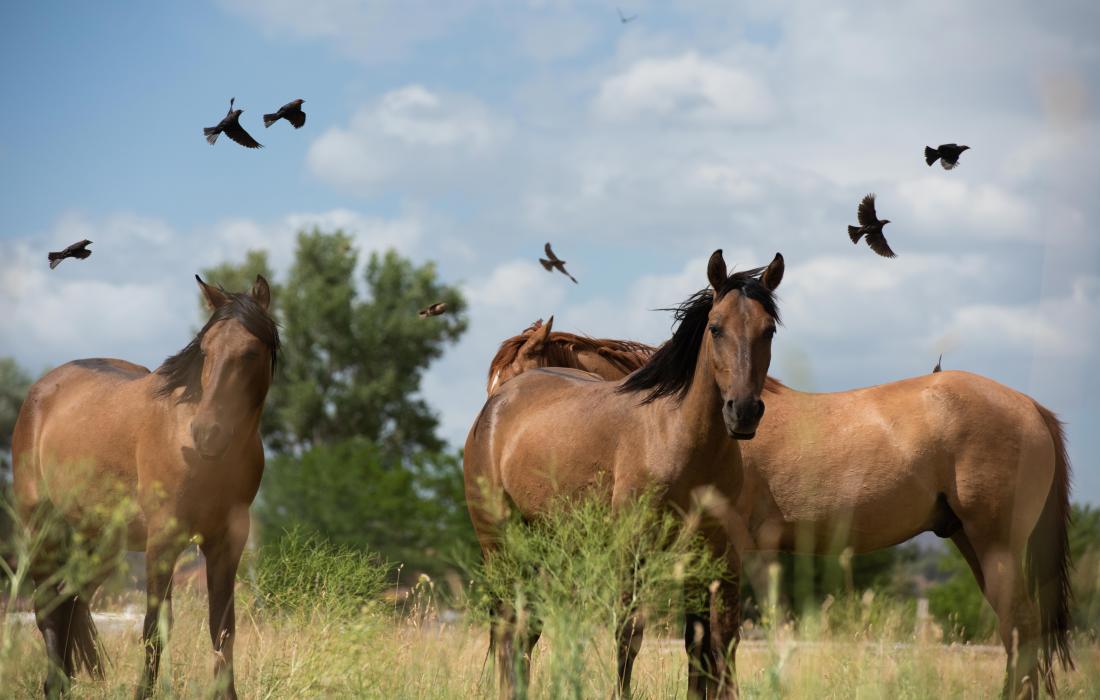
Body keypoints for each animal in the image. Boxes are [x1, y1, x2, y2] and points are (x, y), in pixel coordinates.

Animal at [11, 275, 279, 699]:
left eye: (251, 352)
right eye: (205, 350)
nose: (207, 433)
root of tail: (43, 389)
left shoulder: (227, 541)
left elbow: (223, 630)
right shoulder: (164, 539)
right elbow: (154, 628)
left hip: (102, 542)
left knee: (70, 601)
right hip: (42, 528)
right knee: (48, 608)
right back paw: (54, 686)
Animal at [465, 250, 785, 700]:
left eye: (768, 330)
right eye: (716, 327)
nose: (743, 411)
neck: (677, 435)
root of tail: (493, 411)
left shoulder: (718, 553)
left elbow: (714, 640)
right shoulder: (633, 550)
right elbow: (629, 634)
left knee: (525, 629)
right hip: (499, 543)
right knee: (508, 625)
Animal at [486, 327, 1072, 699]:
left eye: (512, 377)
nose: (487, 431)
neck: (686, 421)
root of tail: (1031, 406)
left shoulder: (730, 556)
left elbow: (718, 648)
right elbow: (700, 651)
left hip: (995, 546)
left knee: (1021, 632)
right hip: (973, 544)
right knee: (1019, 637)